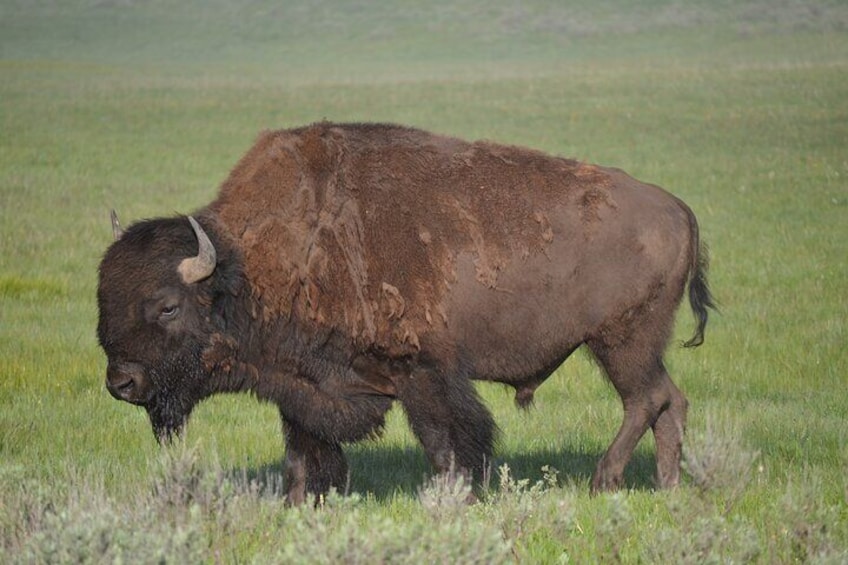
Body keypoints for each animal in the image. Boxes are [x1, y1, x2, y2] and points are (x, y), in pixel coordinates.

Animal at [96, 122, 712, 502]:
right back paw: (667, 486)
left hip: (620, 341)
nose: (121, 383)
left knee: (646, 399)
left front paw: (453, 497)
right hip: (635, 345)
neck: (247, 267)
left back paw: (604, 481)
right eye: (104, 298)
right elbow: (302, 452)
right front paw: (299, 503)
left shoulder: (422, 374)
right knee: (669, 400)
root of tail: (679, 208)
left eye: (168, 306)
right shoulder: (301, 386)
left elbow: (447, 443)